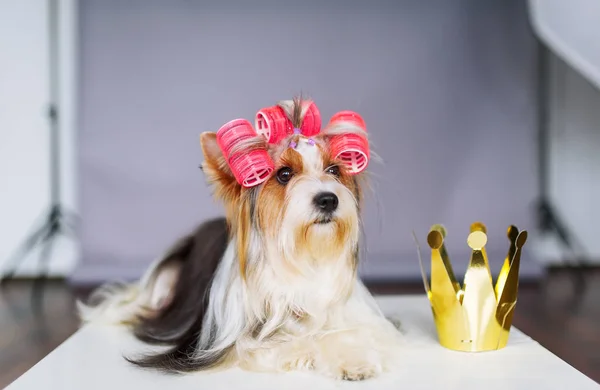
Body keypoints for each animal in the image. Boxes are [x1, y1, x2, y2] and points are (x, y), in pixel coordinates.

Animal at [76, 97, 404, 380]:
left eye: (334, 170)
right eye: (284, 174)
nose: (328, 199)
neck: (302, 258)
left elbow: (353, 333)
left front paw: (352, 359)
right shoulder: (236, 341)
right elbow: (276, 344)